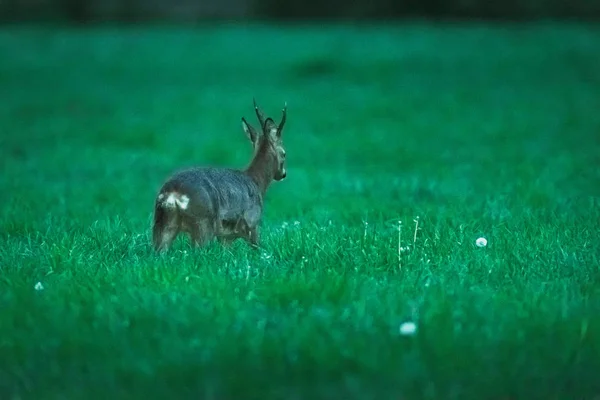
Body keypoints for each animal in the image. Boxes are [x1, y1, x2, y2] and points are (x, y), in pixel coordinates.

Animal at [152, 98, 288, 252]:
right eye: (284, 153)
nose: (283, 174)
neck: (256, 182)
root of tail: (172, 193)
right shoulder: (253, 221)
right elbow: (257, 248)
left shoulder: (226, 236)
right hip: (203, 221)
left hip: (163, 223)